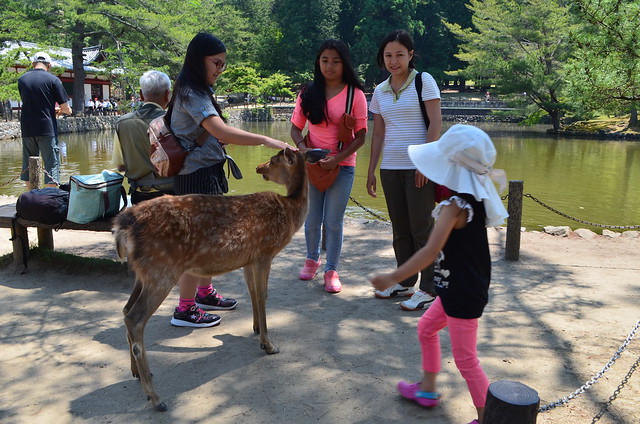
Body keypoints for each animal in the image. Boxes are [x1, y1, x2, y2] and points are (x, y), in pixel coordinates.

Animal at [114, 147, 324, 410]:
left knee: (125, 310)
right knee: (135, 318)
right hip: (162, 270)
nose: (259, 167)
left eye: (272, 160)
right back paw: (155, 398)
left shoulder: (248, 259)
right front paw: (269, 345)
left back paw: (136, 373)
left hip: (143, 273)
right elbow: (263, 296)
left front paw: (256, 329)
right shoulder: (264, 252)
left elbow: (253, 293)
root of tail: (122, 226)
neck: (290, 211)